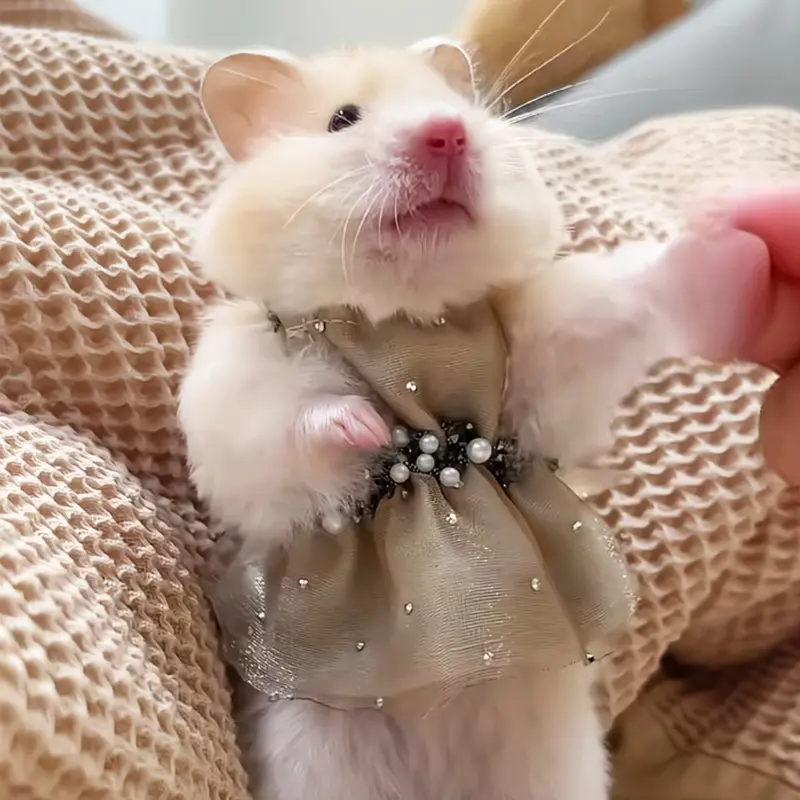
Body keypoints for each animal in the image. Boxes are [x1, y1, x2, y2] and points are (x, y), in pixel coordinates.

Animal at [179, 38, 769, 800]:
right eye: (342, 119)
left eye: (454, 108)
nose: (448, 132)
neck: (409, 309)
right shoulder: (239, 395)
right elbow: (295, 418)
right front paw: (371, 431)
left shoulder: (546, 355)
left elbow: (611, 305)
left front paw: (732, 232)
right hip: (315, 766)